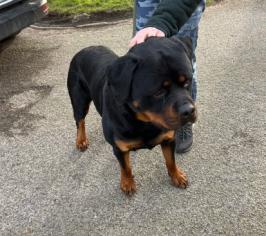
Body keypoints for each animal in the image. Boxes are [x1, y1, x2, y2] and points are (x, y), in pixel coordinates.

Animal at [67, 36, 196, 195]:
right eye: (158, 92)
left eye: (187, 82)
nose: (189, 111)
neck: (145, 122)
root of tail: (84, 49)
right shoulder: (120, 148)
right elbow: (126, 167)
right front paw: (127, 183)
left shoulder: (168, 139)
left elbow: (170, 161)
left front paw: (177, 175)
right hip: (79, 100)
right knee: (80, 121)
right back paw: (81, 140)